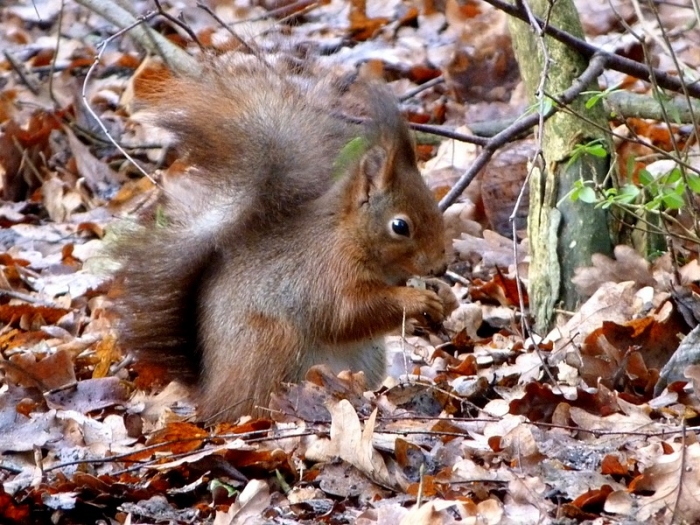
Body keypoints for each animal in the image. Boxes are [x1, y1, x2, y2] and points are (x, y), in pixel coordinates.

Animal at [112, 51, 453, 422]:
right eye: (400, 226)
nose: (440, 266)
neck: (349, 234)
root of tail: (210, 392)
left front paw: (443, 296)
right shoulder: (328, 273)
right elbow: (348, 313)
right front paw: (417, 300)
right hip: (271, 341)